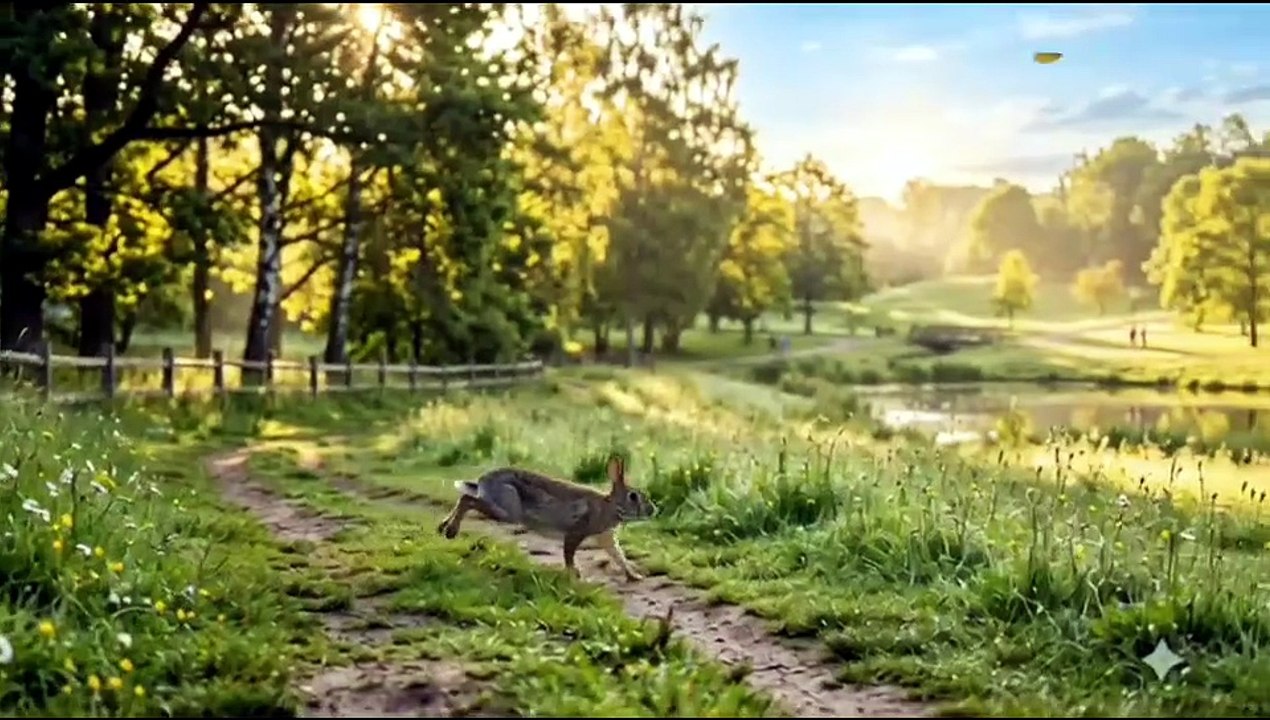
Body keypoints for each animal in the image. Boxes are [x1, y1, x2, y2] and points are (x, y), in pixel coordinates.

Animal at [437, 454, 656, 581]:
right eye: (633, 496)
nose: (653, 510)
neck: (610, 506)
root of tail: (484, 481)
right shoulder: (576, 531)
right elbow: (569, 553)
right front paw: (574, 575)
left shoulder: (606, 537)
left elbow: (619, 557)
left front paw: (635, 576)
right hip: (508, 510)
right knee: (467, 499)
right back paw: (450, 531)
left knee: (466, 498)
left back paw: (443, 527)